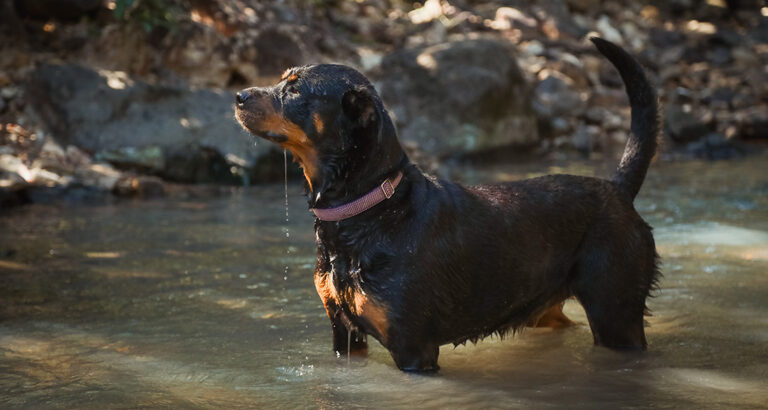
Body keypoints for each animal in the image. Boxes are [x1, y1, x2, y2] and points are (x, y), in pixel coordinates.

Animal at [234, 37, 660, 372]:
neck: (367, 211)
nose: (238, 96)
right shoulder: (345, 335)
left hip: (616, 313)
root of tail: (617, 189)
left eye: (294, 91)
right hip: (547, 309)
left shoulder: (413, 348)